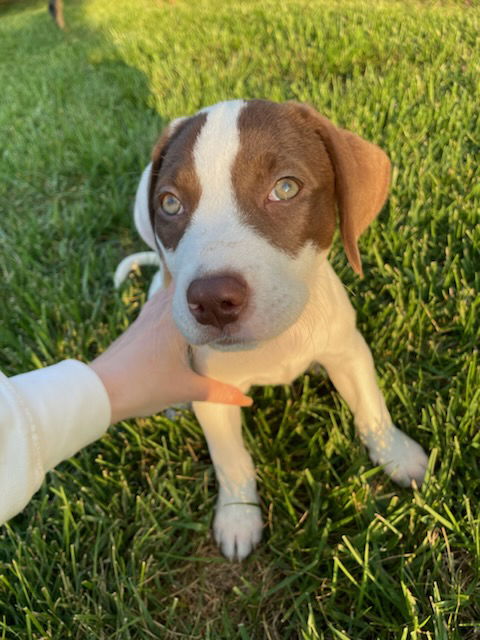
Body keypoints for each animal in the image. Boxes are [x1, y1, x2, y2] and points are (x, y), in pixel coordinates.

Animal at [116, 99, 428, 560]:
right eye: (170, 204)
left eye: (285, 189)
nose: (212, 301)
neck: (277, 342)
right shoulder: (215, 395)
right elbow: (232, 461)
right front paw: (238, 518)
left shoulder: (348, 351)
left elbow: (371, 409)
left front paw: (397, 454)